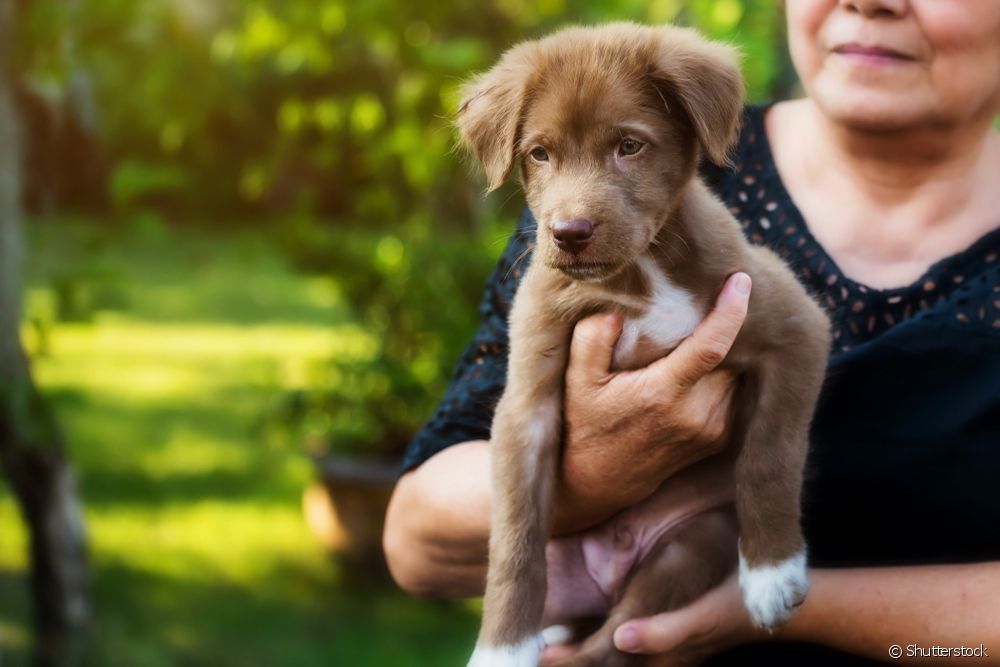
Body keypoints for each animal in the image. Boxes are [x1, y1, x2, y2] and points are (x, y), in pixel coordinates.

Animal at [458, 23, 832, 664]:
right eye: (539, 153)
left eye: (629, 147)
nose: (569, 234)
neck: (640, 276)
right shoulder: (526, 407)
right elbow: (514, 541)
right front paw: (502, 649)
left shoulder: (797, 329)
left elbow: (770, 455)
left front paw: (771, 574)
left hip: (690, 545)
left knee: (610, 644)